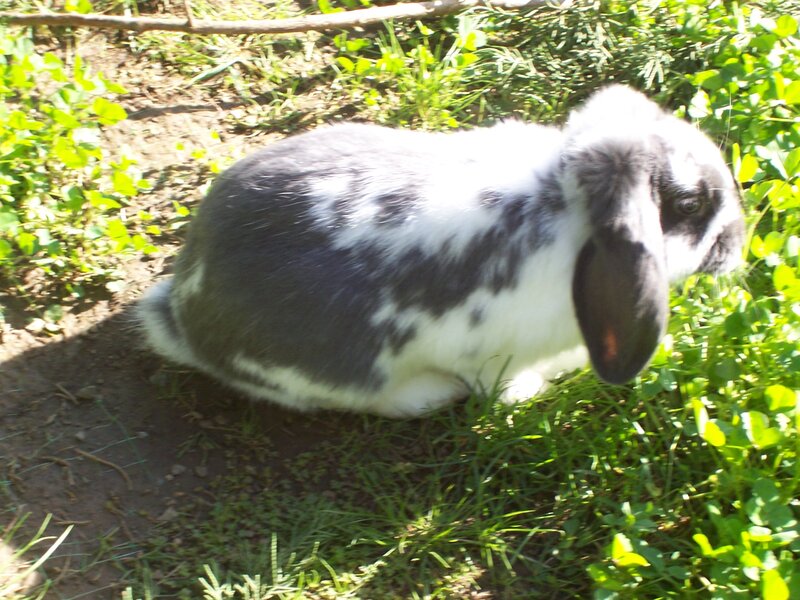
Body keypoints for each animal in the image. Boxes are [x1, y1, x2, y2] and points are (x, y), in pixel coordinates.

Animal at [138, 85, 745, 418]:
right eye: (690, 204)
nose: (738, 242)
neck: (558, 206)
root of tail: (180, 307)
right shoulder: (490, 357)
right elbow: (503, 387)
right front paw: (532, 391)